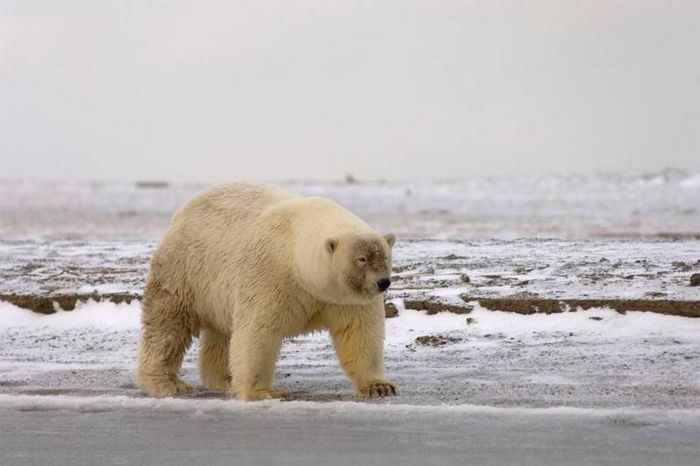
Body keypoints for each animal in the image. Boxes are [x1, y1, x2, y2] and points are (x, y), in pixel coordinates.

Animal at [137, 182, 396, 400]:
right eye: (362, 259)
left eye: (385, 256)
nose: (383, 282)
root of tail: (182, 211)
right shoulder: (271, 276)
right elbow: (258, 331)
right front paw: (265, 391)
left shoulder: (345, 298)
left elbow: (360, 333)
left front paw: (379, 386)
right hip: (185, 271)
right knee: (168, 325)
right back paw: (167, 383)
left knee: (221, 334)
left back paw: (225, 379)